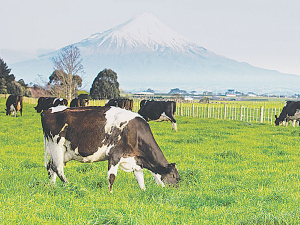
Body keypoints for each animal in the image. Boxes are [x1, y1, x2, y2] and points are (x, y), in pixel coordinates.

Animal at [40, 105, 179, 192]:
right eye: (175, 177)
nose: (176, 193)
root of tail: (47, 111)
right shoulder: (115, 155)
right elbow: (111, 177)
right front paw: (110, 193)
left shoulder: (135, 161)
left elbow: (141, 180)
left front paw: (143, 192)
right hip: (56, 145)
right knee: (58, 168)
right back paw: (70, 185)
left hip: (58, 150)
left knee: (50, 168)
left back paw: (53, 187)